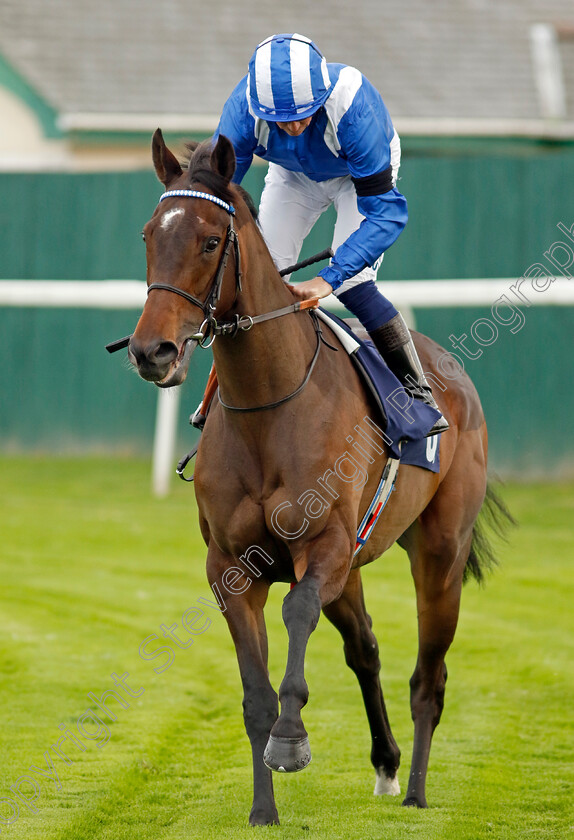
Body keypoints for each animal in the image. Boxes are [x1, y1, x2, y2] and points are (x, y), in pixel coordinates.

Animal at [127, 131, 512, 828]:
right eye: (149, 234)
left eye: (209, 241)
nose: (152, 351)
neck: (267, 404)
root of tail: (451, 371)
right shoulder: (231, 566)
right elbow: (254, 693)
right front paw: (262, 810)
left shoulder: (324, 546)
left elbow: (296, 612)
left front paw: (291, 739)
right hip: (357, 569)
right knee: (366, 649)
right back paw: (386, 765)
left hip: (439, 554)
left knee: (429, 677)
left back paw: (416, 791)